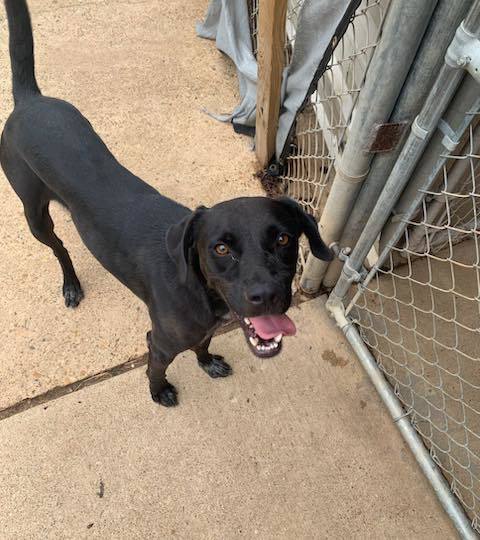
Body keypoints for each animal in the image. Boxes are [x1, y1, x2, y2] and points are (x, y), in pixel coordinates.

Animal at [1, 0, 332, 404]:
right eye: (221, 248)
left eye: (284, 239)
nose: (267, 296)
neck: (202, 290)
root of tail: (30, 100)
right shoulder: (159, 341)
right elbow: (156, 369)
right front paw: (159, 392)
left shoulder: (206, 328)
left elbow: (203, 344)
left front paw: (207, 362)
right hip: (33, 212)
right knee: (59, 246)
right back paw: (71, 285)